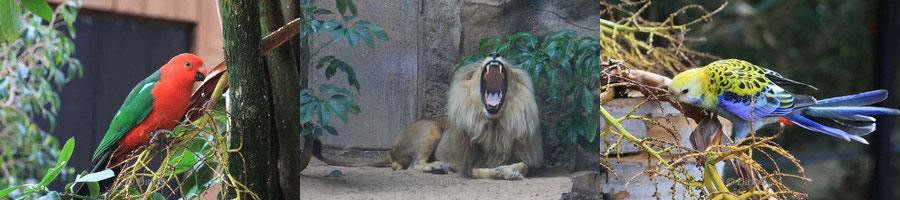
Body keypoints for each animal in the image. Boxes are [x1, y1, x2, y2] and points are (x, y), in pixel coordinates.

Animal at [312, 54, 536, 180]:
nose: (495, 54)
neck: (495, 122)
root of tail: (391, 147)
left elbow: (524, 165)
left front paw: (512, 170)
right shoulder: (468, 165)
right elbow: (483, 170)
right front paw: (504, 172)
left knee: (401, 165)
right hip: (431, 128)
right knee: (413, 165)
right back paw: (438, 167)